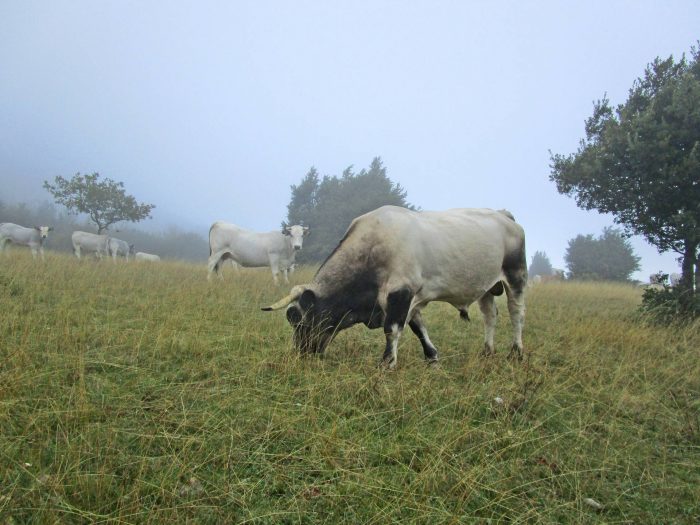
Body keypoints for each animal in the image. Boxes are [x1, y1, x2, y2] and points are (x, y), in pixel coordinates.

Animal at [262, 206, 524, 368]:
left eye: (301, 321)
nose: (301, 354)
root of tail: (504, 216)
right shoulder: (409, 298)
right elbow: (419, 328)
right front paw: (432, 358)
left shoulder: (401, 293)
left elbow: (392, 329)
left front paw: (387, 363)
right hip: (487, 288)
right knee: (490, 316)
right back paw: (487, 351)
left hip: (516, 276)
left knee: (516, 314)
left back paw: (516, 351)